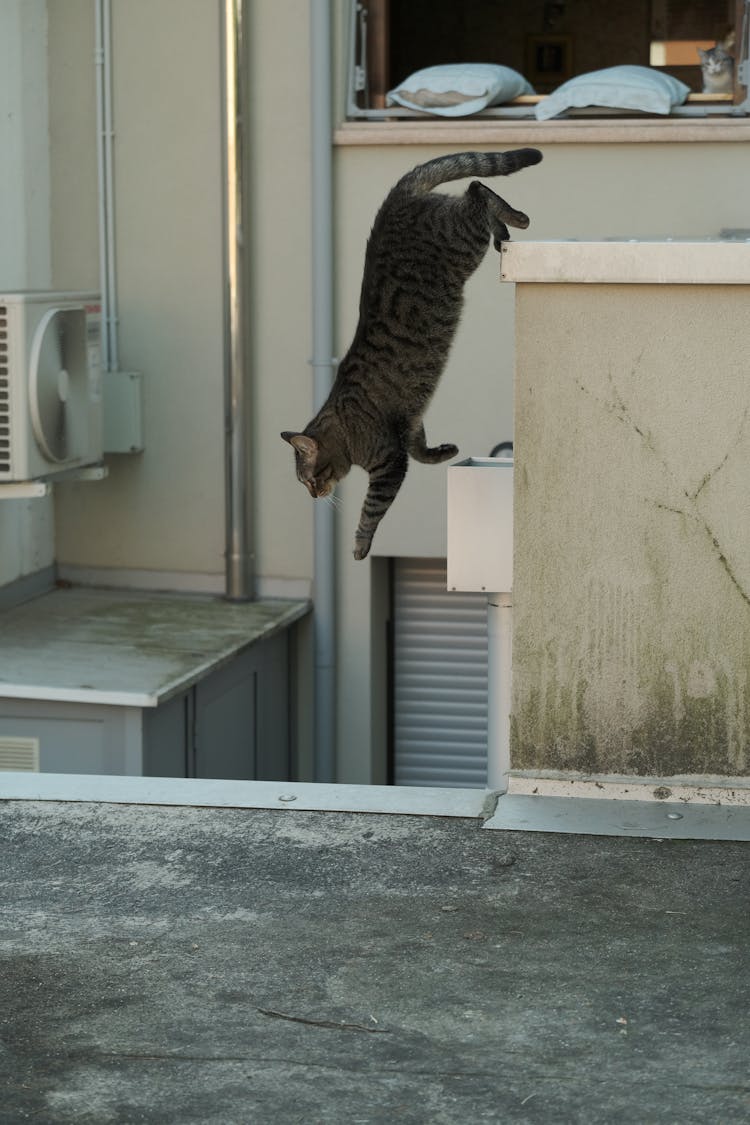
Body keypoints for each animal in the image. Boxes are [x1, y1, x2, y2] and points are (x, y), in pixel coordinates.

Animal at [284, 145, 541, 558]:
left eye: (308, 479)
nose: (313, 495)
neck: (344, 426)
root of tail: (395, 198)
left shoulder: (389, 462)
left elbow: (372, 509)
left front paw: (359, 545)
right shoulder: (410, 420)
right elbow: (421, 446)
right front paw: (444, 451)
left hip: (463, 239)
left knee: (477, 191)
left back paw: (516, 218)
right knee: (476, 190)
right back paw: (505, 231)